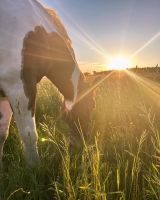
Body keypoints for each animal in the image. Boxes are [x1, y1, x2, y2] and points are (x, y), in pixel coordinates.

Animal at [0, 0, 97, 166]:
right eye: (91, 106)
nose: (83, 146)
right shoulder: (18, 85)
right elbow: (29, 134)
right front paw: (34, 167)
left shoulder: (5, 94)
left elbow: (2, 133)